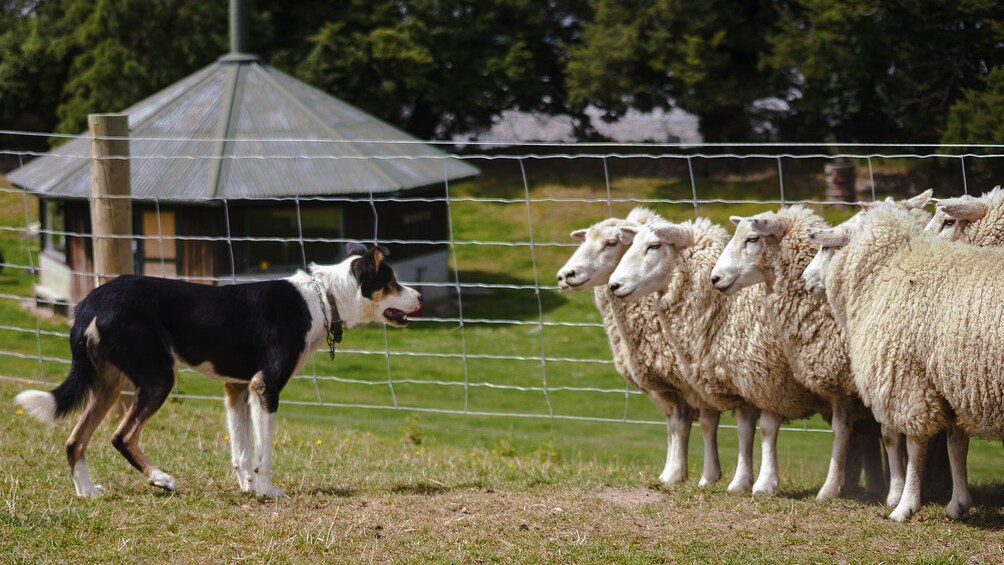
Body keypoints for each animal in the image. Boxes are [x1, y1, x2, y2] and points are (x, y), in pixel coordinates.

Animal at [558, 207, 722, 485]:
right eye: (585, 239)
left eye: (611, 243)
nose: (564, 275)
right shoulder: (667, 384)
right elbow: (674, 425)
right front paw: (671, 473)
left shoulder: (695, 380)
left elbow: (703, 423)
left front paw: (701, 476)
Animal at [606, 210, 819, 495]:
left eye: (655, 245)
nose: (614, 285)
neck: (728, 309)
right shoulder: (732, 385)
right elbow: (738, 430)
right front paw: (734, 480)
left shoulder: (770, 380)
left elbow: (762, 429)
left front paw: (760, 482)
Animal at [807, 202, 1003, 521]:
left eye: (825, 247)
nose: (804, 278)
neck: (887, 269)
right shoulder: (950, 382)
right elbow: (956, 444)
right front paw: (958, 503)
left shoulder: (909, 380)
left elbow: (915, 446)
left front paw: (906, 505)